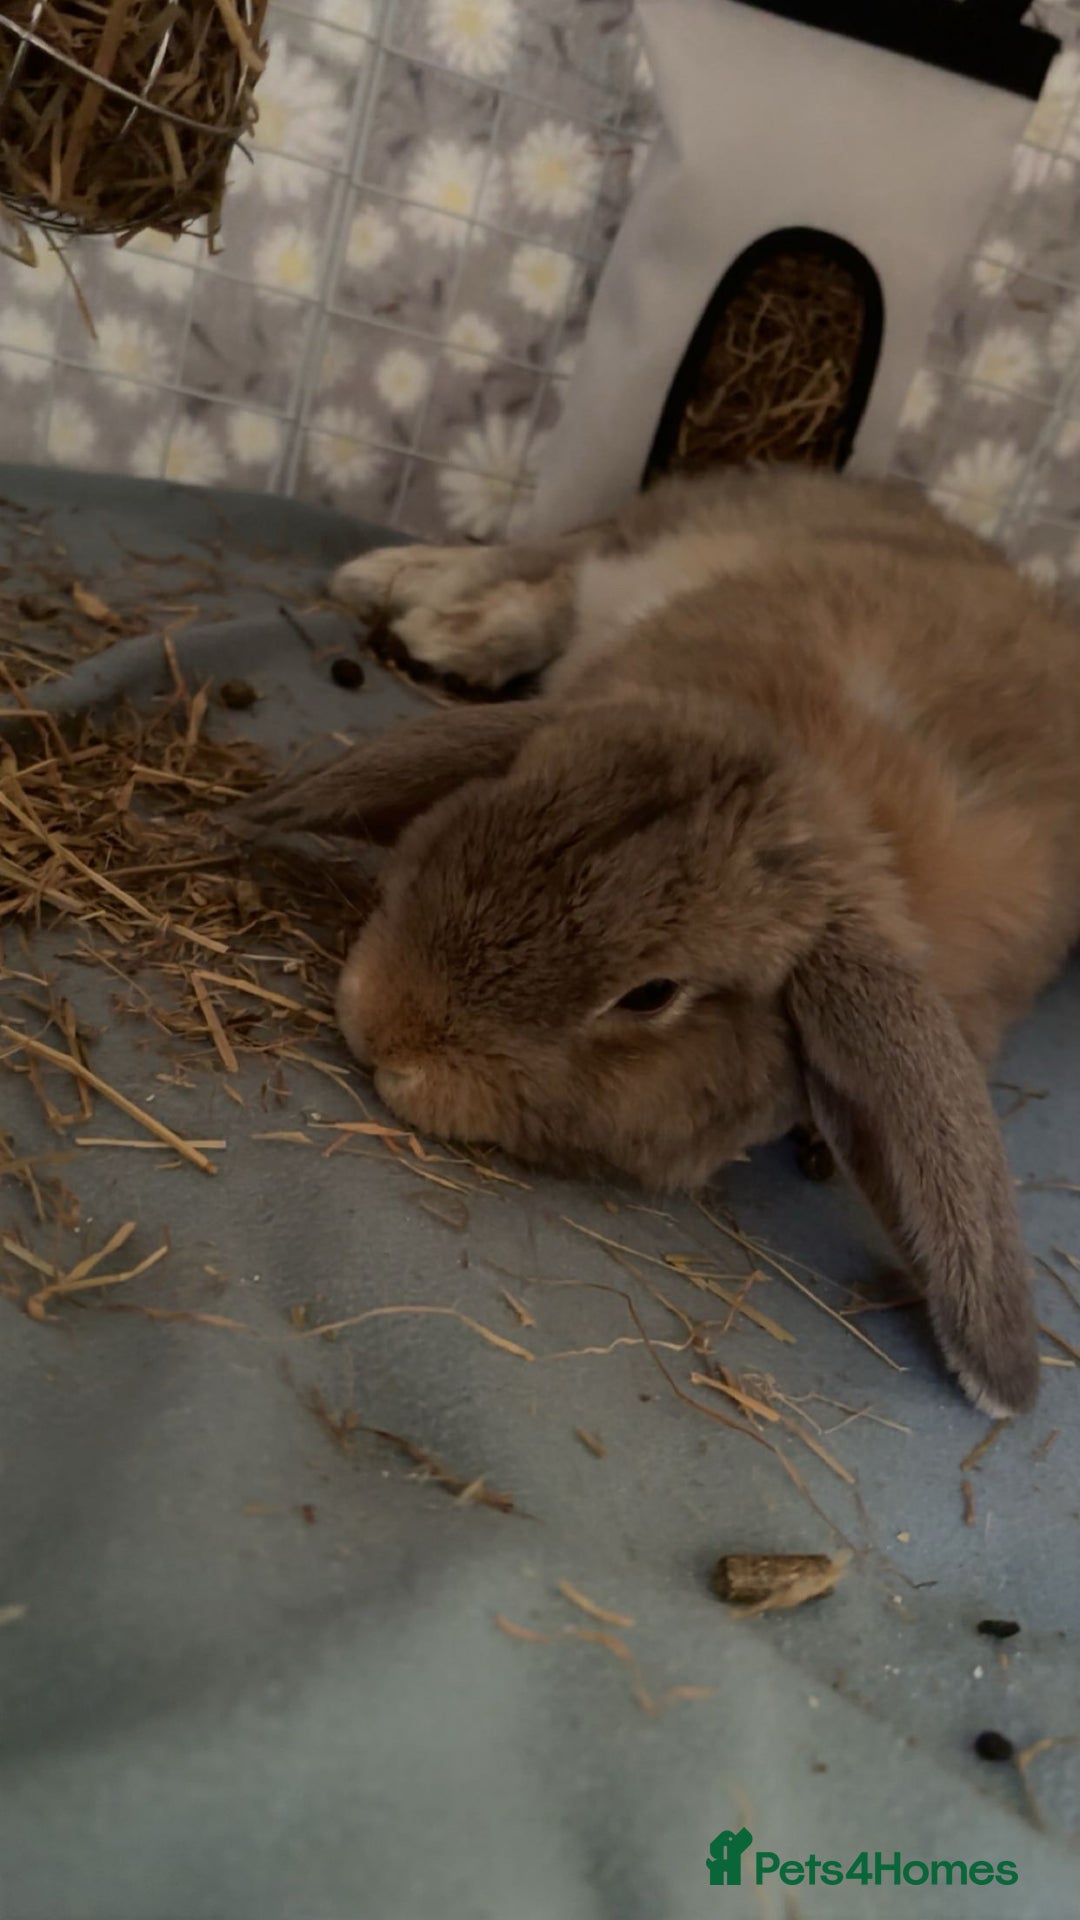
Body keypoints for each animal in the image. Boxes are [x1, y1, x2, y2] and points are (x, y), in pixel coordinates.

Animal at [246, 466, 1080, 1418]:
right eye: (482, 817)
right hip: (663, 532)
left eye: (650, 996)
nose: (384, 1030)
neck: (825, 784)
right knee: (561, 557)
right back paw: (415, 605)